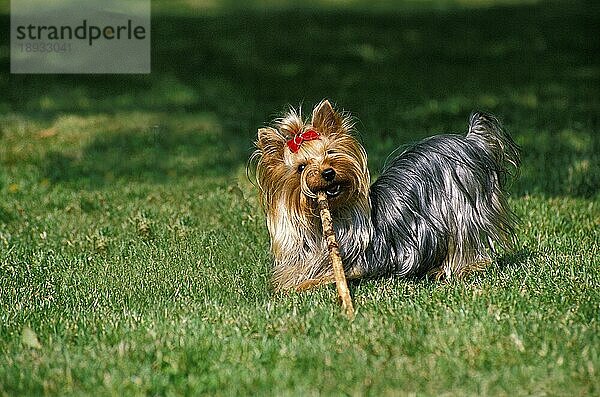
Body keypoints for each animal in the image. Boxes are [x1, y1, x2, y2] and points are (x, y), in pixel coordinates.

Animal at [251, 100, 516, 290]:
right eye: (301, 168)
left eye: (331, 153)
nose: (328, 173)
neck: (326, 218)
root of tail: (470, 141)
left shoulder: (356, 265)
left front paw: (305, 285)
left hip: (460, 201)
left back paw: (452, 269)